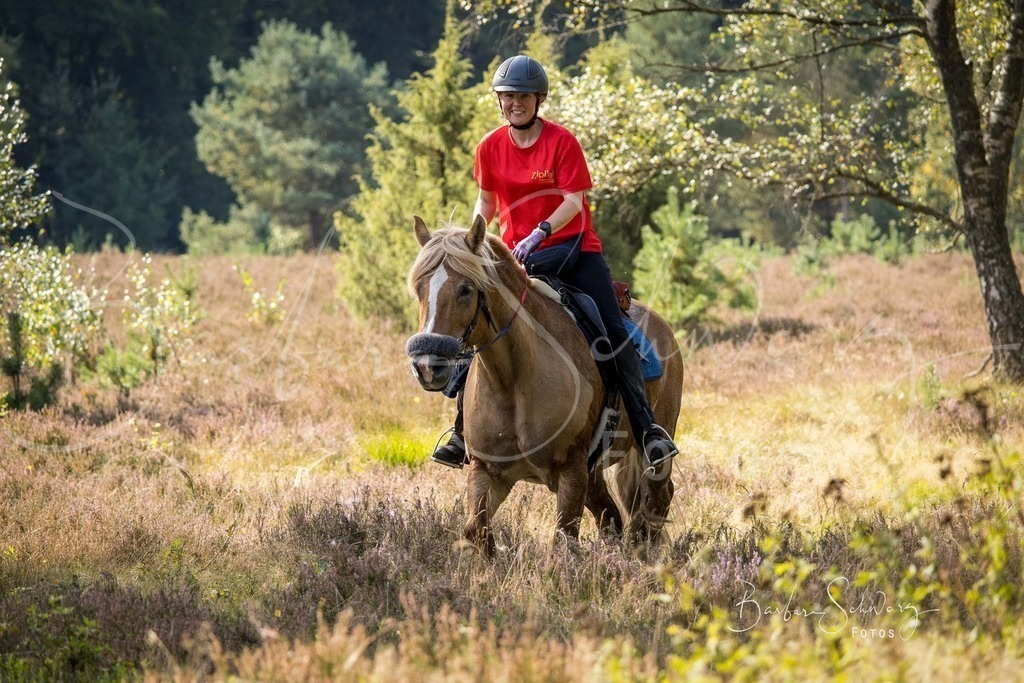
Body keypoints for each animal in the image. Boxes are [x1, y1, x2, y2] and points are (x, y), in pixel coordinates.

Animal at [406, 214, 683, 555]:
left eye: (465, 289)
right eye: (419, 288)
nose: (426, 365)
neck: (512, 381)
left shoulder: (571, 471)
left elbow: (562, 543)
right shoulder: (488, 471)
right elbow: (476, 530)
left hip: (650, 449)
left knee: (655, 502)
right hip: (593, 473)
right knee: (612, 517)